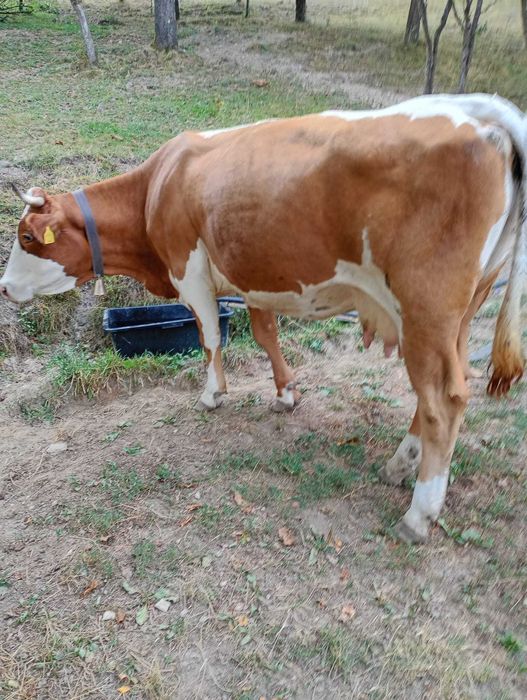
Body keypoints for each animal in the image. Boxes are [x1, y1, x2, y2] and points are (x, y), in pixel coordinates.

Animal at [1, 93, 525, 543]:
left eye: (27, 238)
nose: (4, 286)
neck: (158, 184)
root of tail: (476, 112)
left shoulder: (189, 268)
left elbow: (209, 336)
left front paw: (212, 394)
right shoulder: (252, 273)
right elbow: (264, 333)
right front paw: (286, 393)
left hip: (426, 306)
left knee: (444, 400)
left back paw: (419, 512)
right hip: (462, 309)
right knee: (441, 388)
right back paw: (401, 464)